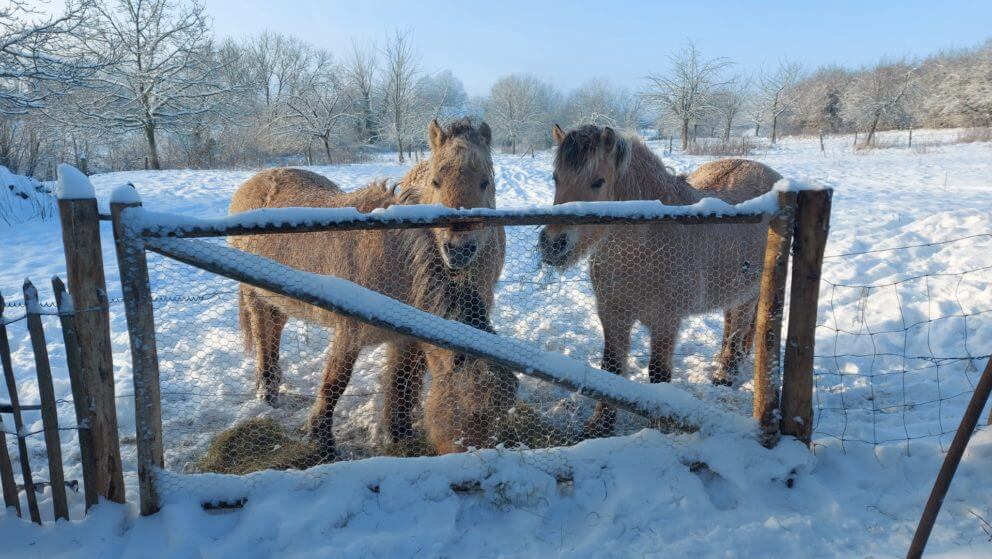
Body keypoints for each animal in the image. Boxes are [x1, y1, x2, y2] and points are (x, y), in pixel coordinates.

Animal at [229, 119, 512, 460]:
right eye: (474, 410)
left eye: (486, 182)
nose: (489, 458)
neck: (397, 258)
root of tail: (255, 182)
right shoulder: (349, 333)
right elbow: (334, 384)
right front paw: (322, 441)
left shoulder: (406, 340)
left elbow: (401, 383)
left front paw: (398, 434)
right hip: (255, 296)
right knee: (263, 336)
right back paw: (267, 390)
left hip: (278, 298)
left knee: (274, 329)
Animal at [536, 126, 784, 438]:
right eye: (556, 178)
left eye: (598, 181)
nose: (553, 244)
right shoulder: (613, 315)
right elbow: (611, 368)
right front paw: (599, 426)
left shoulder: (666, 321)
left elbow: (658, 375)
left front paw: (659, 428)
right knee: (731, 324)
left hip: (749, 293)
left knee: (739, 329)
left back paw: (725, 374)